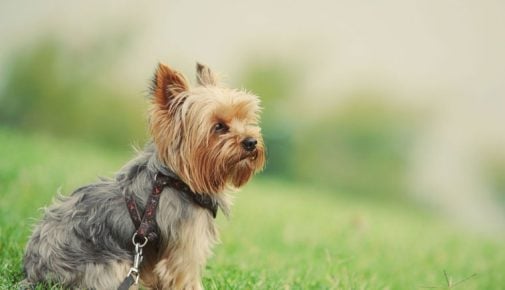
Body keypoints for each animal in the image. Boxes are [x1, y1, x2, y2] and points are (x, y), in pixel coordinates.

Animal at [21, 62, 266, 288]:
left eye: (245, 119)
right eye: (219, 127)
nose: (251, 142)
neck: (177, 179)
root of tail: (34, 272)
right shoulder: (185, 250)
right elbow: (187, 279)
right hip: (112, 267)